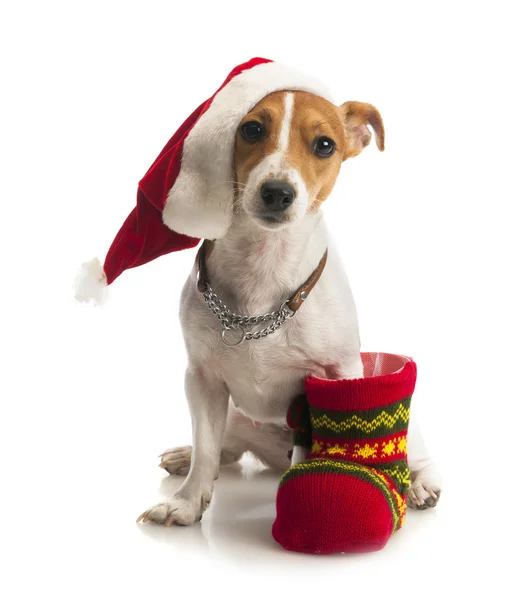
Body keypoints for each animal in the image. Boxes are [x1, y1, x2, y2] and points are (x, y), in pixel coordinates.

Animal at [136, 91, 440, 528]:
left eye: (325, 145)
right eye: (251, 129)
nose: (278, 192)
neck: (263, 266)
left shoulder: (339, 375)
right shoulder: (202, 379)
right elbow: (207, 445)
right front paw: (187, 502)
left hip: (406, 432)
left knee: (420, 458)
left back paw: (421, 486)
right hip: (235, 413)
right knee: (224, 447)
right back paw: (187, 456)